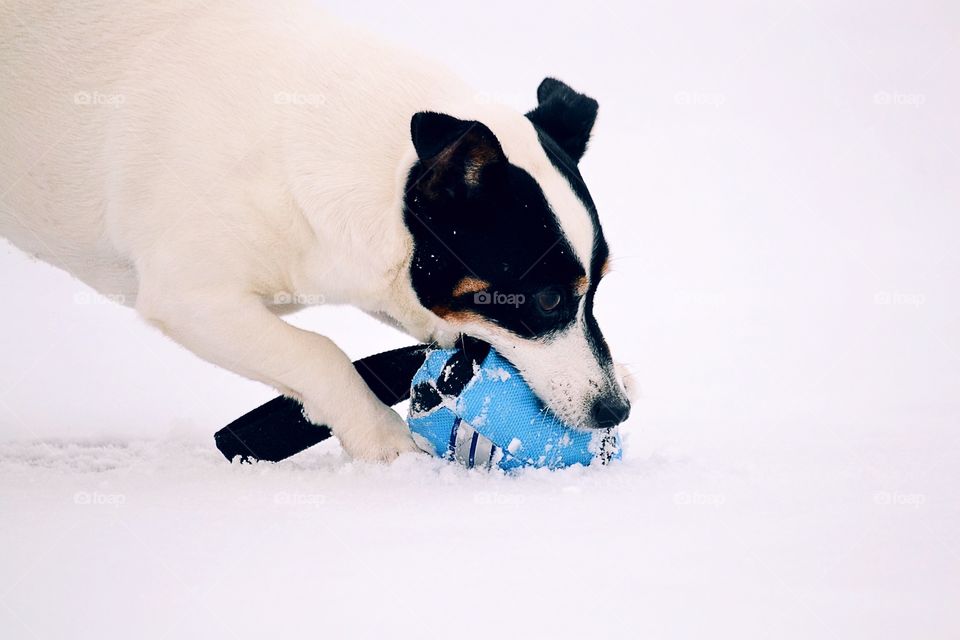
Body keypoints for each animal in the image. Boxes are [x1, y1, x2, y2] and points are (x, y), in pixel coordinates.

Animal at [0, 0, 632, 460]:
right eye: (548, 300)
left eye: (598, 289)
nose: (616, 410)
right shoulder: (190, 297)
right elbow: (319, 353)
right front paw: (384, 442)